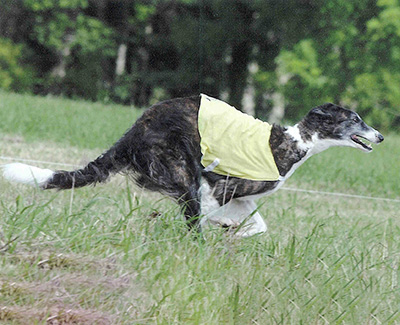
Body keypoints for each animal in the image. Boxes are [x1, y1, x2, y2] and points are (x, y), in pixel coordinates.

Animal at [2, 94, 384, 235]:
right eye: (356, 119)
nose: (380, 137)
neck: (296, 143)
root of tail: (132, 134)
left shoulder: (241, 198)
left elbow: (257, 226)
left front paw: (233, 232)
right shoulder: (215, 185)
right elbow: (212, 214)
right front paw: (221, 230)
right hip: (178, 170)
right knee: (191, 214)